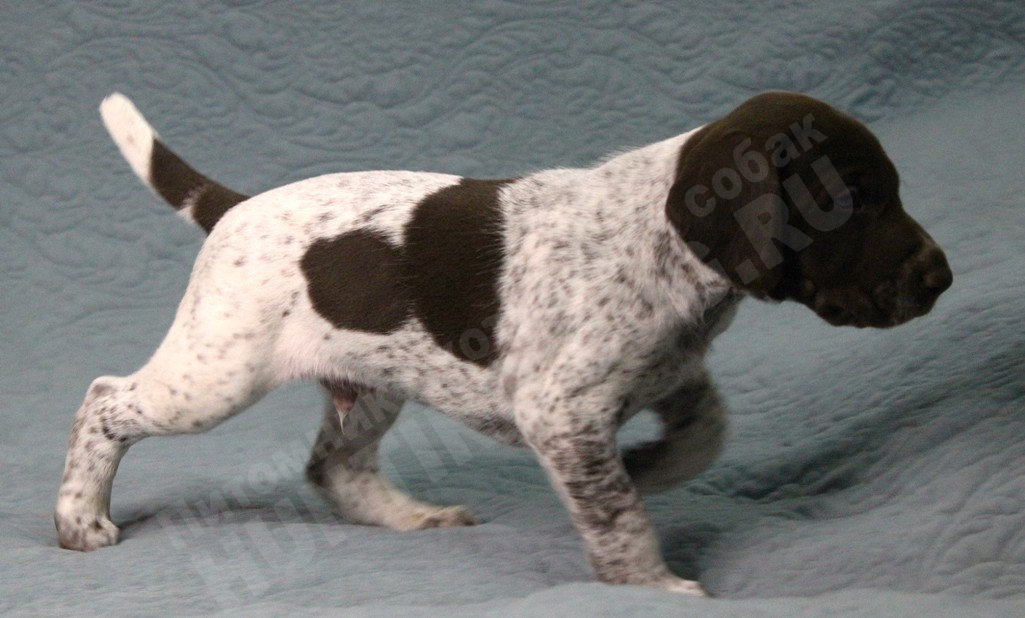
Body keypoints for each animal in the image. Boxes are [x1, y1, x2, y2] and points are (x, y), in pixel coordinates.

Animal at [55, 91, 952, 596]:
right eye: (852, 200)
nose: (940, 278)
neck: (662, 238)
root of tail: (237, 207)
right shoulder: (562, 412)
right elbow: (619, 520)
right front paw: (649, 586)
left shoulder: (668, 374)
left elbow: (704, 433)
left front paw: (645, 469)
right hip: (215, 375)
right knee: (103, 400)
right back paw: (79, 517)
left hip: (370, 383)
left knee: (332, 467)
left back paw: (409, 517)